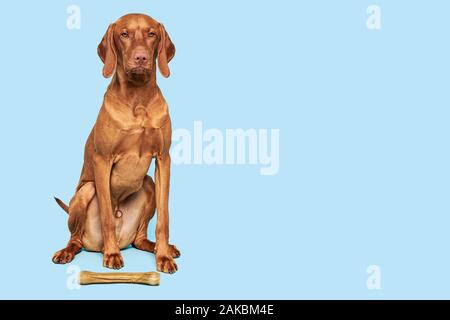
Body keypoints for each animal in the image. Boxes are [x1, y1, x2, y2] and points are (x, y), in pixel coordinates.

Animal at [52, 13, 179, 274]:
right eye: (124, 34)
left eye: (152, 34)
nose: (141, 57)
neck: (138, 98)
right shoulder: (102, 160)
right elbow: (108, 218)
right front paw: (111, 255)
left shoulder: (164, 158)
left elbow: (164, 218)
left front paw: (163, 257)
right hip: (86, 191)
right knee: (76, 238)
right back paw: (70, 251)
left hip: (149, 184)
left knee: (140, 239)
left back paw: (160, 248)